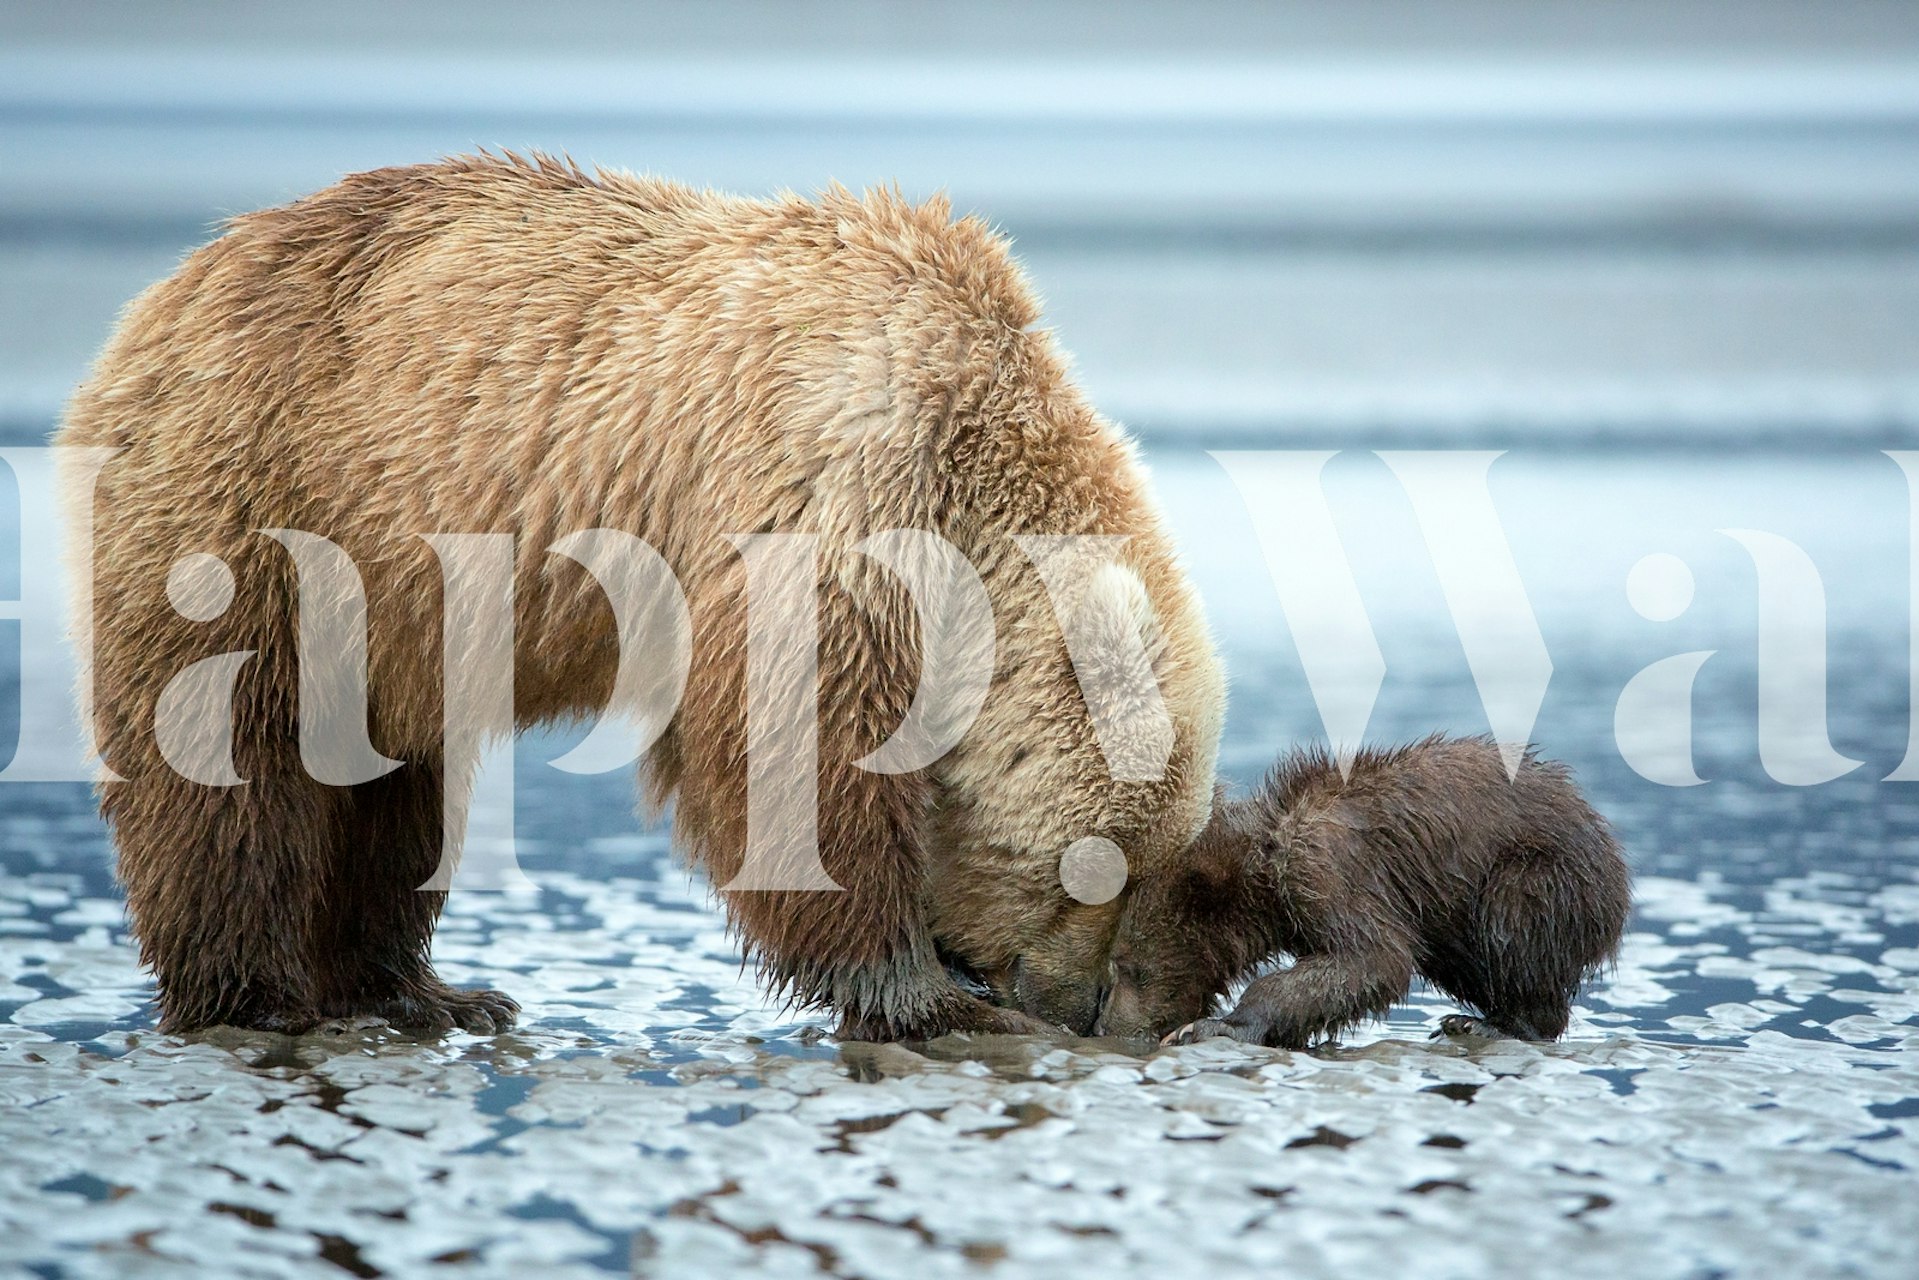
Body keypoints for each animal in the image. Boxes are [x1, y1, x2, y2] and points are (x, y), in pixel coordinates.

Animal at [56, 152, 1225, 1040]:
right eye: (1100, 872)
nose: (1080, 1007)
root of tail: (168, 289)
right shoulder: (825, 492)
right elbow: (790, 755)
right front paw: (929, 996)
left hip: (382, 604)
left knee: (388, 786)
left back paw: (427, 990)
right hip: (262, 499)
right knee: (228, 766)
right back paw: (255, 993)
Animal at [1095, 735, 1629, 1048]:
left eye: (1128, 968)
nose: (1105, 1027)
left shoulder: (1330, 870)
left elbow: (1372, 958)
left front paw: (1215, 1025)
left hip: (1536, 872)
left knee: (1513, 924)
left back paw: (1487, 1022)